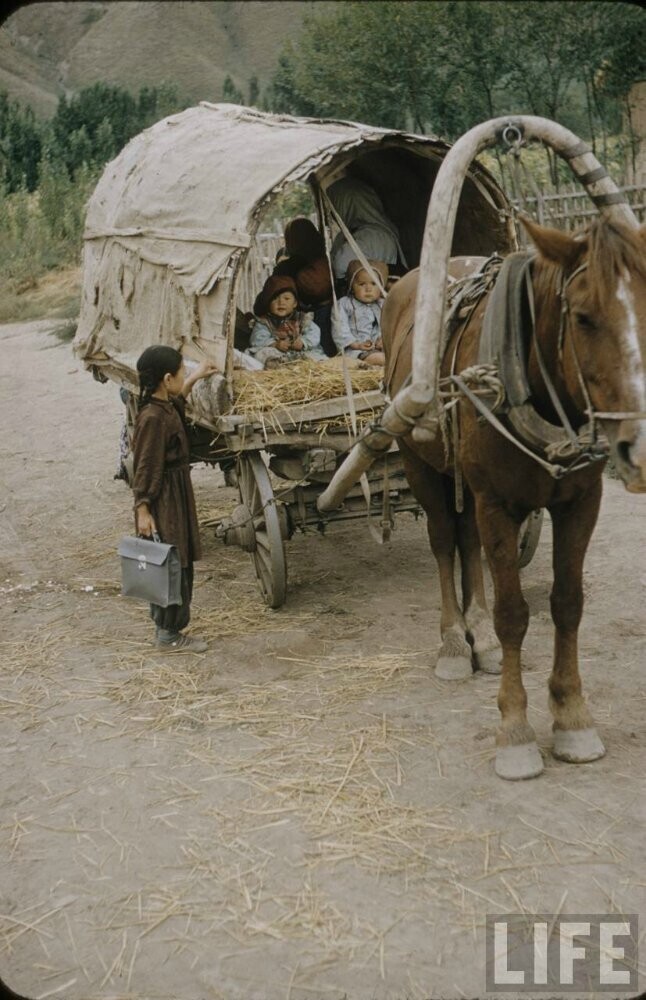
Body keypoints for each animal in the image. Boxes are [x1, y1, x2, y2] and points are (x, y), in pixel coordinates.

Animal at [380, 217, 646, 780]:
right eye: (584, 318)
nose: (641, 447)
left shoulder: (581, 500)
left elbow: (567, 603)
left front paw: (572, 717)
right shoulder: (497, 503)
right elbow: (513, 615)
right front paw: (516, 730)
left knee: (466, 541)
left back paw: (475, 629)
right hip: (418, 462)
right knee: (444, 541)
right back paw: (455, 641)